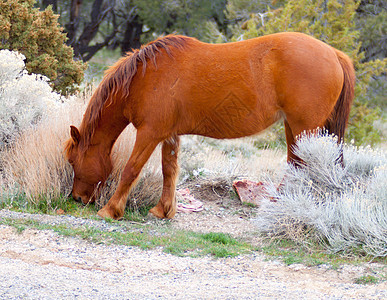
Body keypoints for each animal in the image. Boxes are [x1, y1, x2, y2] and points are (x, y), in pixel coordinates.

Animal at [65, 32, 356, 220]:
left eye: (72, 160)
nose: (77, 198)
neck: (144, 77)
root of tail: (334, 53)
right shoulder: (169, 135)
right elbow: (169, 171)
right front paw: (163, 210)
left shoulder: (149, 134)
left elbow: (130, 170)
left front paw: (110, 210)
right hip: (294, 128)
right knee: (295, 163)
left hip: (305, 129)